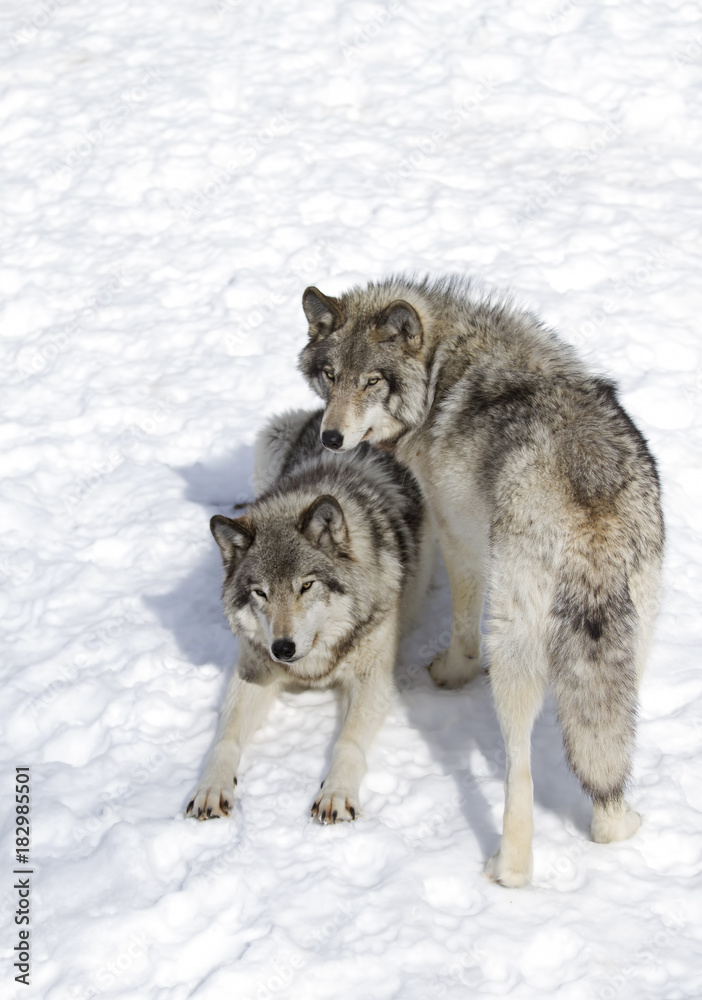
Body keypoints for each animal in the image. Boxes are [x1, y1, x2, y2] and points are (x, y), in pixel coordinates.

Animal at [187, 406, 438, 820]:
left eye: (306, 586)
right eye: (261, 593)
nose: (282, 648)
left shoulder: (372, 679)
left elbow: (347, 742)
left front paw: (336, 793)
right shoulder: (253, 672)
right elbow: (225, 736)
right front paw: (210, 787)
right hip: (270, 438)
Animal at [300, 278, 668, 888]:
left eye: (371, 380)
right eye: (330, 375)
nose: (330, 438)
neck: (439, 371)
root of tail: (587, 489)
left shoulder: (459, 536)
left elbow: (461, 629)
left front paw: (452, 673)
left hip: (517, 645)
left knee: (520, 772)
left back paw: (508, 869)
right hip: (630, 647)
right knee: (608, 750)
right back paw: (618, 822)